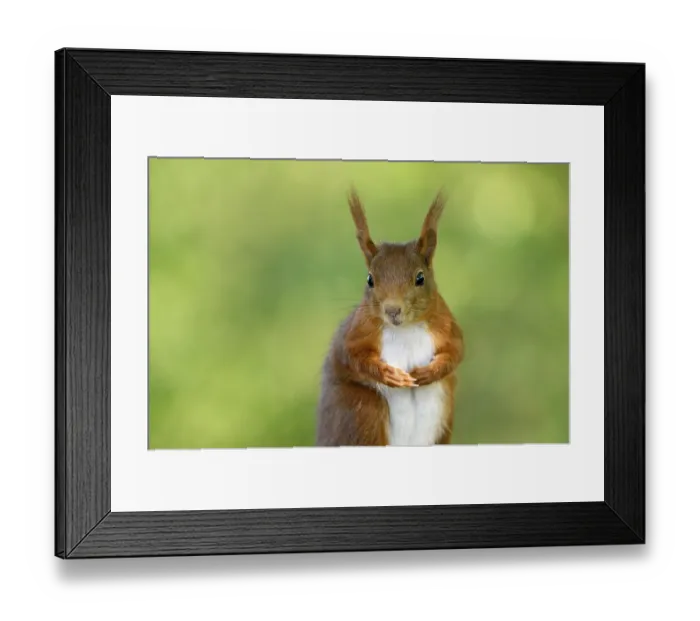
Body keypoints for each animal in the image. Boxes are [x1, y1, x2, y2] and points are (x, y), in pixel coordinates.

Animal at [316, 188, 465, 447]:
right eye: (370, 279)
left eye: (420, 278)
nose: (392, 310)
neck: (405, 329)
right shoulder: (357, 331)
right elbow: (352, 355)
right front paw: (390, 375)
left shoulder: (446, 326)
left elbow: (456, 351)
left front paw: (428, 372)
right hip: (364, 409)